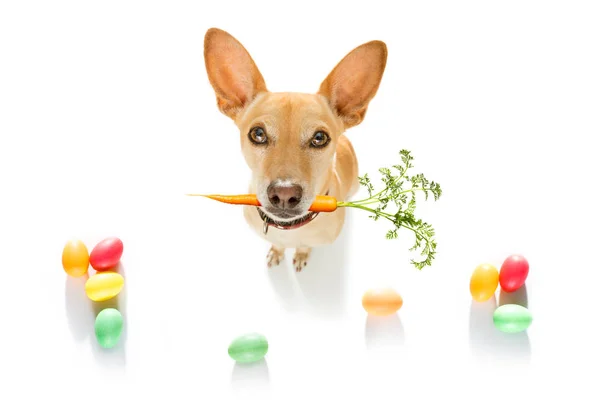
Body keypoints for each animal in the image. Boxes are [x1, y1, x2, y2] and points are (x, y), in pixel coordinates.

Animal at [204, 27, 386, 272]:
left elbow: (305, 246)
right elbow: (278, 245)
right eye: (258, 134)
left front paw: (300, 255)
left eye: (319, 138)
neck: (288, 229)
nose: (284, 194)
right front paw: (277, 252)